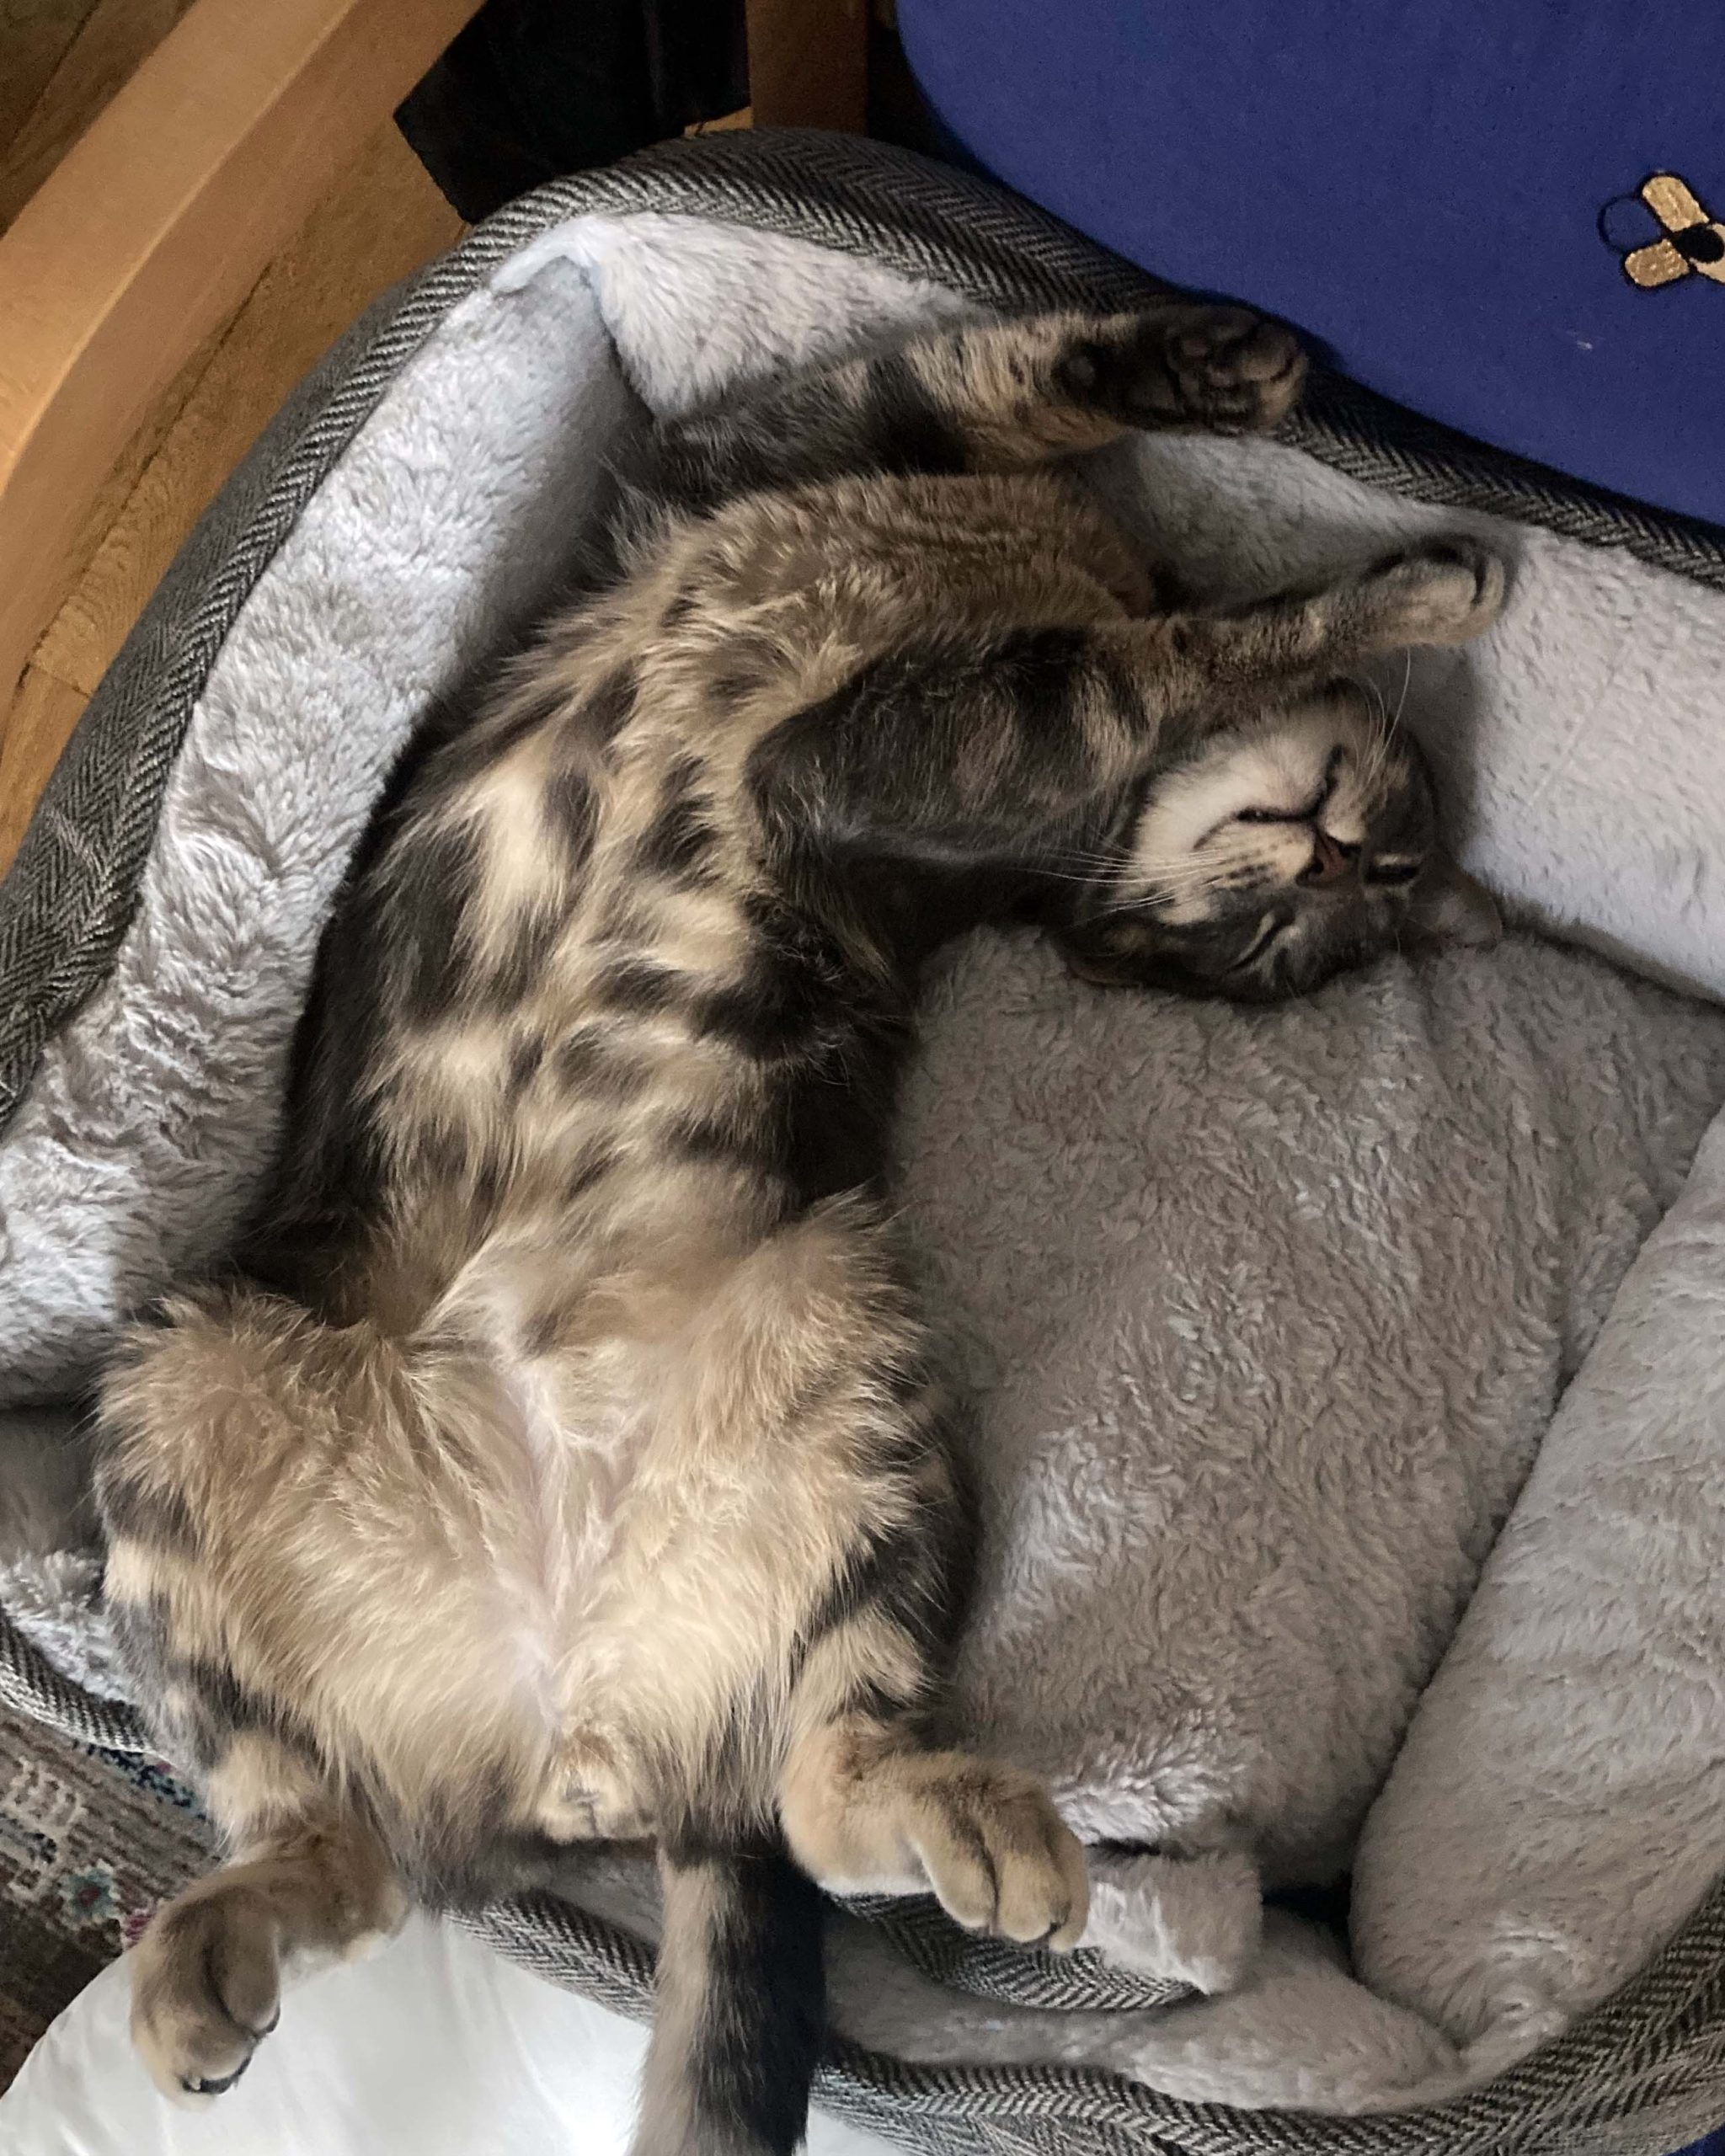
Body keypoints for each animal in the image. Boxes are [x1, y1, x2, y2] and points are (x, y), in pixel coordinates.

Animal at [92, 301, 1504, 2154]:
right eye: (1285, 927)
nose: (1328, 855)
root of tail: (593, 1740)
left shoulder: (877, 751)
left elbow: (1175, 648)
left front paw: (1398, 589)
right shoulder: (767, 454)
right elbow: (1004, 386)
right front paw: (1218, 371)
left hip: (856, 1361)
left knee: (790, 1804)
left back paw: (956, 1827)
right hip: (176, 1389)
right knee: (343, 1845)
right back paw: (214, 1950)